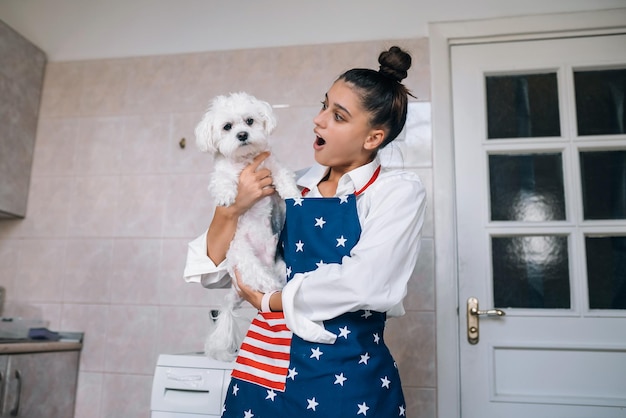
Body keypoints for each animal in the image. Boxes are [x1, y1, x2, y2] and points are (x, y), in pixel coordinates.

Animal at [196, 92, 302, 362]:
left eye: (249, 121)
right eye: (227, 127)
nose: (242, 135)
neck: (244, 161)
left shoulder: (273, 166)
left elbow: (283, 177)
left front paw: (292, 193)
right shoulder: (222, 173)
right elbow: (223, 179)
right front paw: (226, 195)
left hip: (280, 263)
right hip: (244, 258)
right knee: (263, 282)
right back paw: (276, 287)